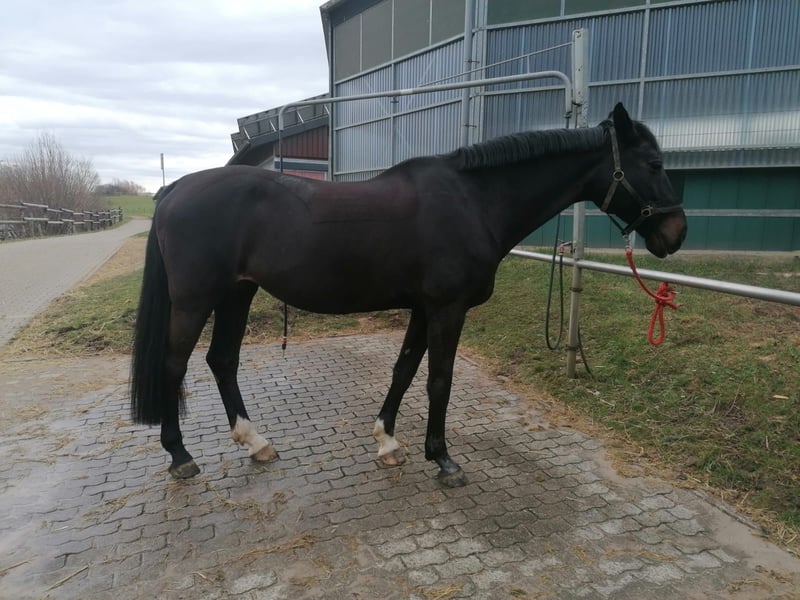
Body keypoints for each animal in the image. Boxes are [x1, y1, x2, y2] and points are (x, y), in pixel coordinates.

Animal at [130, 103, 686, 487]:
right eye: (654, 163)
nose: (676, 233)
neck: (473, 201)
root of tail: (174, 190)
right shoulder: (447, 309)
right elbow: (439, 381)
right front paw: (443, 459)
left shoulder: (423, 308)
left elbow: (403, 370)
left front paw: (388, 443)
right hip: (197, 300)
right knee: (174, 365)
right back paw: (181, 456)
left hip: (237, 296)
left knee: (222, 361)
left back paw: (256, 442)